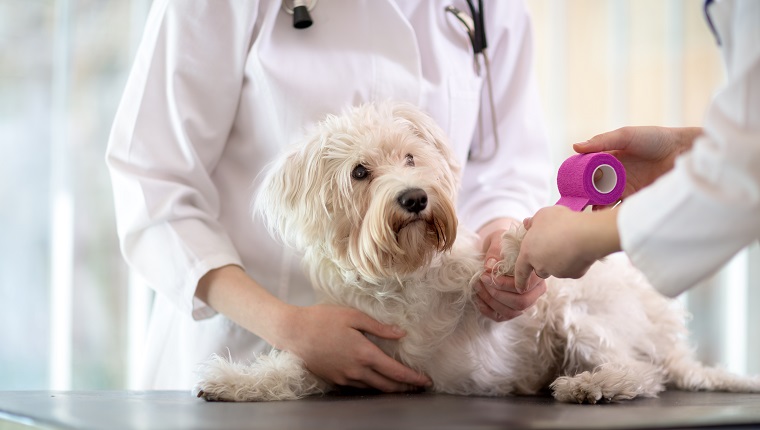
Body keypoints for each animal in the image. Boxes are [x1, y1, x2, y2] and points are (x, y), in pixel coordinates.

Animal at [194, 101, 760, 404]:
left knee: (642, 373)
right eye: (360, 172)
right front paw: (234, 381)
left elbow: (493, 279)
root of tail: (667, 336)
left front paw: (515, 247)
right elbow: (294, 369)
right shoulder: (352, 353)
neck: (403, 275)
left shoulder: (498, 309)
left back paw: (592, 385)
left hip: (580, 314)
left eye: (409, 157)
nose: (414, 198)